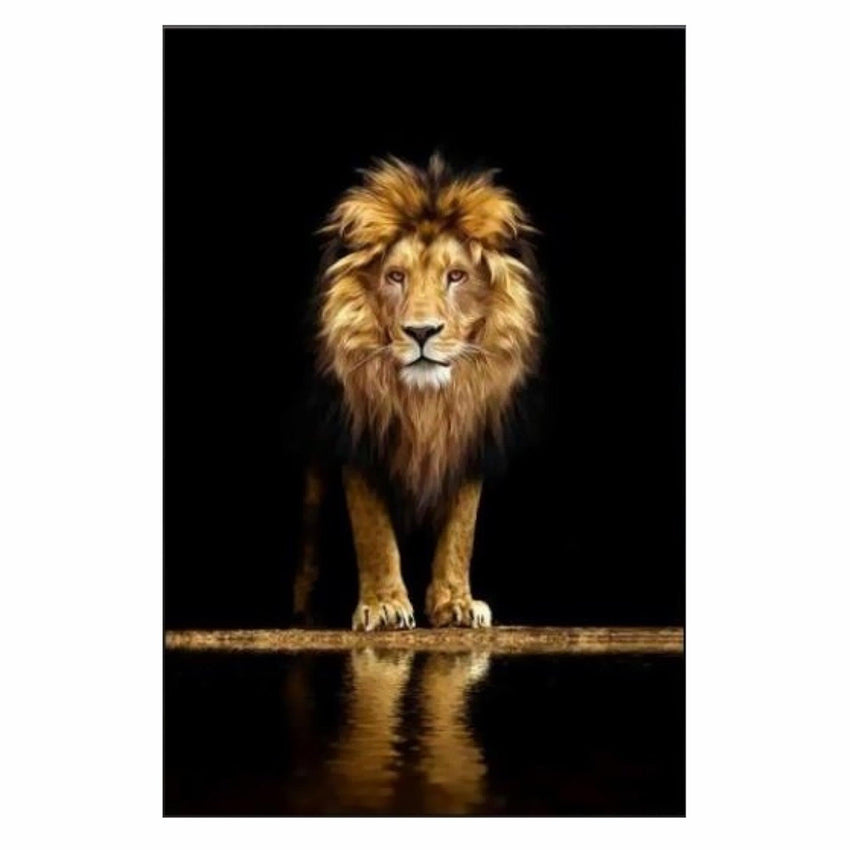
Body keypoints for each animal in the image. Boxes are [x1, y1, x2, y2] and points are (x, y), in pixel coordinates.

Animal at [293, 154, 543, 631]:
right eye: (395, 276)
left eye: (456, 276)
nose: (422, 332)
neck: (425, 402)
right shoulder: (360, 438)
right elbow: (372, 530)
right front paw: (384, 605)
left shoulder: (468, 438)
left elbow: (461, 530)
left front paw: (456, 604)